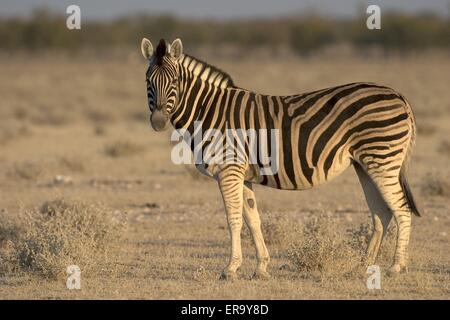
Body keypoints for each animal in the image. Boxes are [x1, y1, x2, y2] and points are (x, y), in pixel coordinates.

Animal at [141, 37, 422, 280]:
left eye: (175, 81)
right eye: (148, 81)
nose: (158, 122)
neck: (208, 111)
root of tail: (399, 96)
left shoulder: (229, 170)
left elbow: (233, 220)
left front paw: (230, 269)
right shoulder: (242, 175)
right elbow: (253, 220)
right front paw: (261, 268)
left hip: (383, 159)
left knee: (401, 209)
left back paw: (396, 267)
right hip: (365, 164)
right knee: (381, 213)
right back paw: (362, 267)